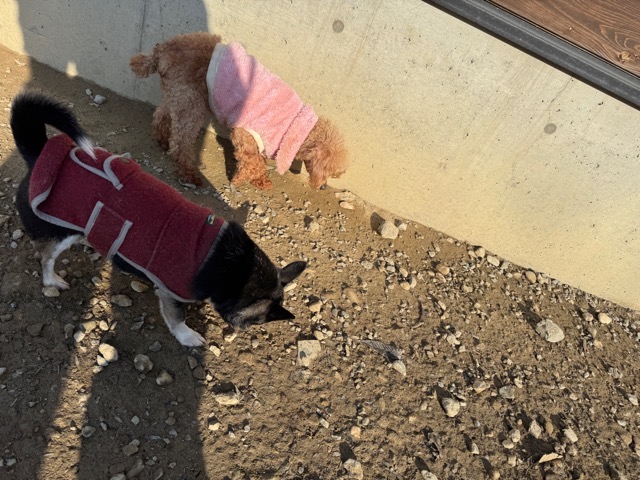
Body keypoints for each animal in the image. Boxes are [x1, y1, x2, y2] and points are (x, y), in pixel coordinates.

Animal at [10, 91, 306, 347]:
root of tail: (39, 152)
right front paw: (188, 336)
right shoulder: (171, 293)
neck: (234, 264)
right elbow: (177, 319)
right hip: (59, 232)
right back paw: (52, 280)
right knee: (46, 258)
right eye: (259, 320)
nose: (241, 329)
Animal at [130, 32, 347, 190]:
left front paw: (261, 180)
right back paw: (188, 173)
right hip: (191, 101)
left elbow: (258, 160)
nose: (323, 187)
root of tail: (162, 50)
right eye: (328, 170)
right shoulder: (247, 134)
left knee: (161, 114)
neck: (298, 126)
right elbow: (251, 160)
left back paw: (161, 139)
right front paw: (240, 179)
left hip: (180, 94)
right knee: (181, 142)